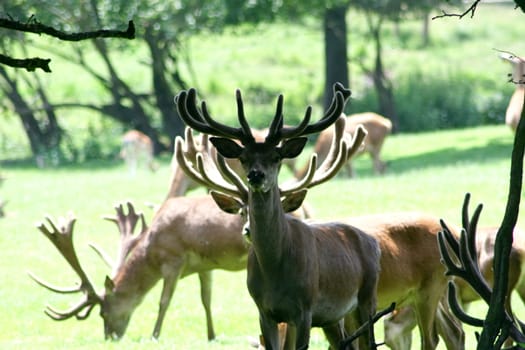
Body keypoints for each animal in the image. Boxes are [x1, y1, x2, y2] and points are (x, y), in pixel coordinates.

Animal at [174, 83, 382, 348]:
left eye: (276, 157)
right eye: (243, 158)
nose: (255, 175)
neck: (275, 271)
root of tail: (373, 242)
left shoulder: (305, 309)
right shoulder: (264, 311)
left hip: (368, 297)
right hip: (335, 317)